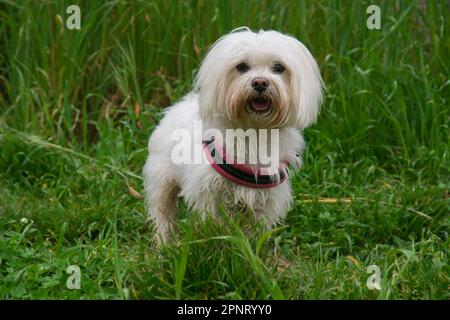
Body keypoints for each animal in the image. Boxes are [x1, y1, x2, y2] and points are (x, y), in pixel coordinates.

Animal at [142, 27, 322, 242]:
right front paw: (217, 239)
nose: (260, 82)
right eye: (242, 66)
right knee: (163, 212)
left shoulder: (267, 199)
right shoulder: (209, 191)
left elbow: (255, 232)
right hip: (162, 180)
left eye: (279, 68)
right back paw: (165, 242)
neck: (253, 131)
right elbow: (213, 222)